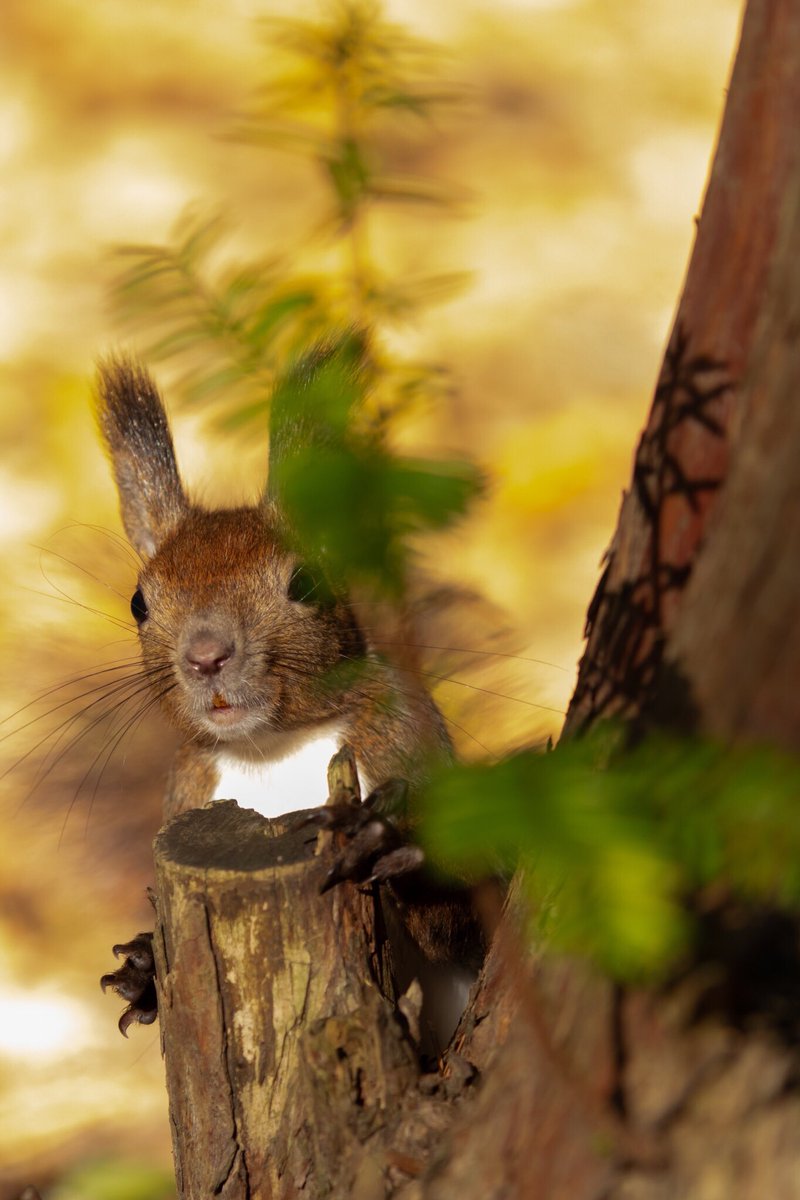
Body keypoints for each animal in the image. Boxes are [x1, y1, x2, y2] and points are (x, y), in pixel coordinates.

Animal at [98, 350, 489, 1051]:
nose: (206, 655)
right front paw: (142, 967)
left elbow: (465, 919)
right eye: (140, 602)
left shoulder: (406, 741)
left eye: (305, 582)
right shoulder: (186, 790)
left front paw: (384, 843)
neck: (271, 747)